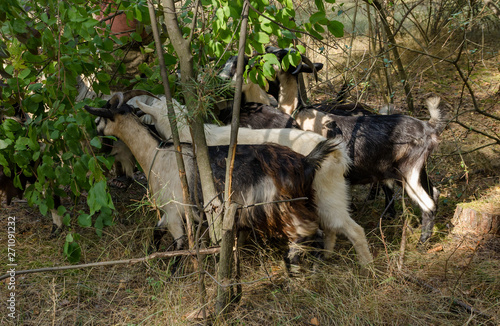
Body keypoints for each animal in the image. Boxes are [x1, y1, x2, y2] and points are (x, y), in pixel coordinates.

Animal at [84, 93, 368, 266]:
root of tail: (338, 153)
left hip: (325, 194)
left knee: (349, 229)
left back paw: (366, 267)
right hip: (327, 195)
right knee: (331, 228)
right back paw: (328, 257)